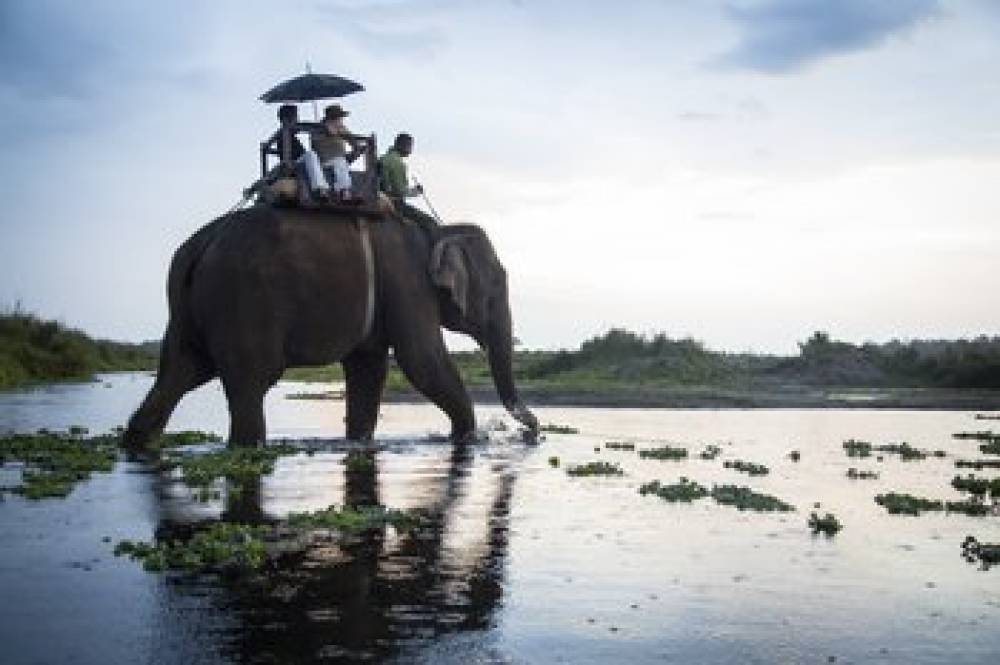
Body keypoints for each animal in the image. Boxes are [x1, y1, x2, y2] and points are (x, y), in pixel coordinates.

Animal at [124, 208, 540, 446]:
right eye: (497, 286)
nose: (532, 432)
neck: (437, 230)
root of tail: (198, 246)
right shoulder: (408, 281)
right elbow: (422, 361)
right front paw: (467, 438)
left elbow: (370, 367)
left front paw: (358, 442)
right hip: (242, 301)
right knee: (249, 383)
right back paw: (248, 447)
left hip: (188, 309)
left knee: (179, 372)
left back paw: (138, 442)